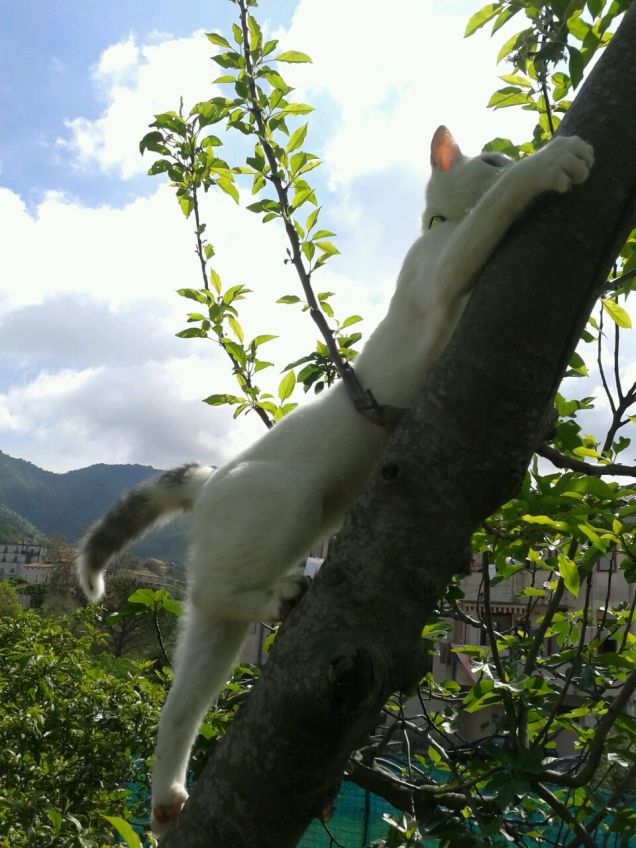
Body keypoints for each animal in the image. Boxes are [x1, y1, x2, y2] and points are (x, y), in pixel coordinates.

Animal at [77, 127, 592, 836]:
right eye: (491, 160)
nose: (512, 157)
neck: (435, 231)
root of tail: (210, 483)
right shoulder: (442, 273)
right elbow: (493, 212)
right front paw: (552, 162)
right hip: (293, 500)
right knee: (215, 591)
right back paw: (283, 596)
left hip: (219, 623)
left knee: (182, 695)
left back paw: (167, 799)